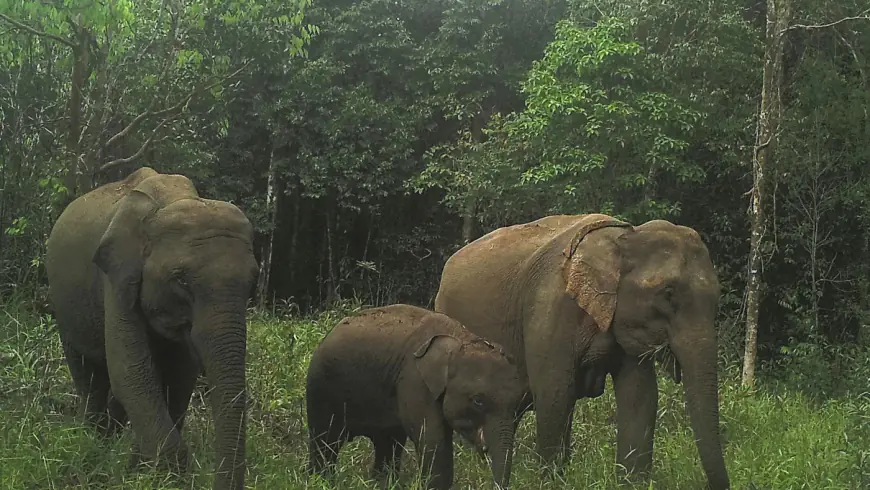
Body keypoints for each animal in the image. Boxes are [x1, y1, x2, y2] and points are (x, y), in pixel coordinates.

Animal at [46, 167, 258, 488]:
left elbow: (180, 377)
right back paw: (94, 445)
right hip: (66, 308)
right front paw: (163, 473)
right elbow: (129, 371)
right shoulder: (117, 277)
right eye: (181, 280)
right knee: (89, 377)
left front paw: (139, 467)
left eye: (252, 283)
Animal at [304, 304, 524, 488]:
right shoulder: (414, 381)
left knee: (387, 444)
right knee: (325, 442)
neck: (459, 340)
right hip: (320, 387)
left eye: (517, 404)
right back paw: (321, 480)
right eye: (478, 401)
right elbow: (433, 441)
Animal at [434, 214, 728, 490]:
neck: (624, 236)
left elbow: (639, 396)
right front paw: (551, 483)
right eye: (667, 293)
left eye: (717, 297)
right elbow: (554, 394)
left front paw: (632, 483)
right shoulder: (549, 308)